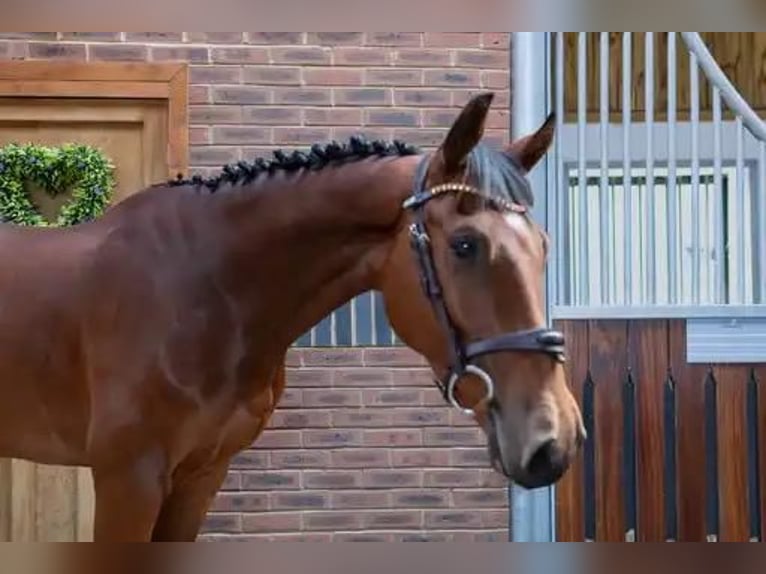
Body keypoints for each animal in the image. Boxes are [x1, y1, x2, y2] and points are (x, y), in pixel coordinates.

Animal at [0, 92, 585, 541]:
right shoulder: (129, 478)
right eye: (465, 245)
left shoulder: (199, 475)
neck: (203, 291)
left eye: (544, 244)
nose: (554, 440)